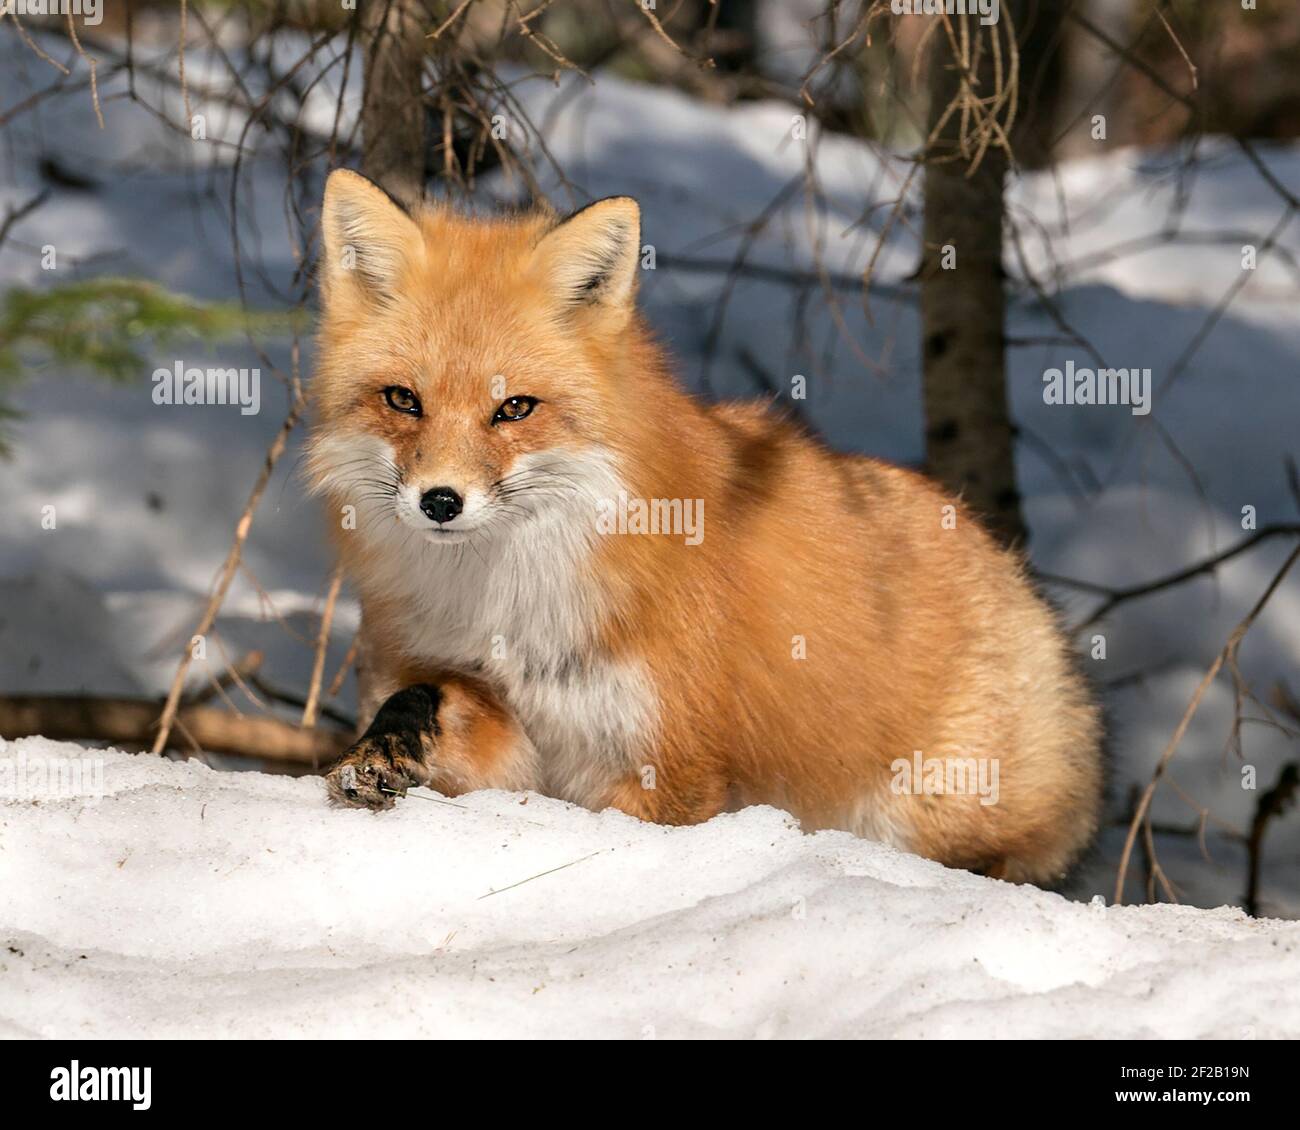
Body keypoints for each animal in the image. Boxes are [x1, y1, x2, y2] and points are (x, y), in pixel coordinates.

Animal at [309, 170, 1102, 884]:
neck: (513, 598)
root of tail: (1004, 561)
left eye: (514, 409)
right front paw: (377, 757)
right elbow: (423, 699)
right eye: (403, 400)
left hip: (934, 811)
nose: (441, 502)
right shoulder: (499, 712)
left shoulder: (671, 761)